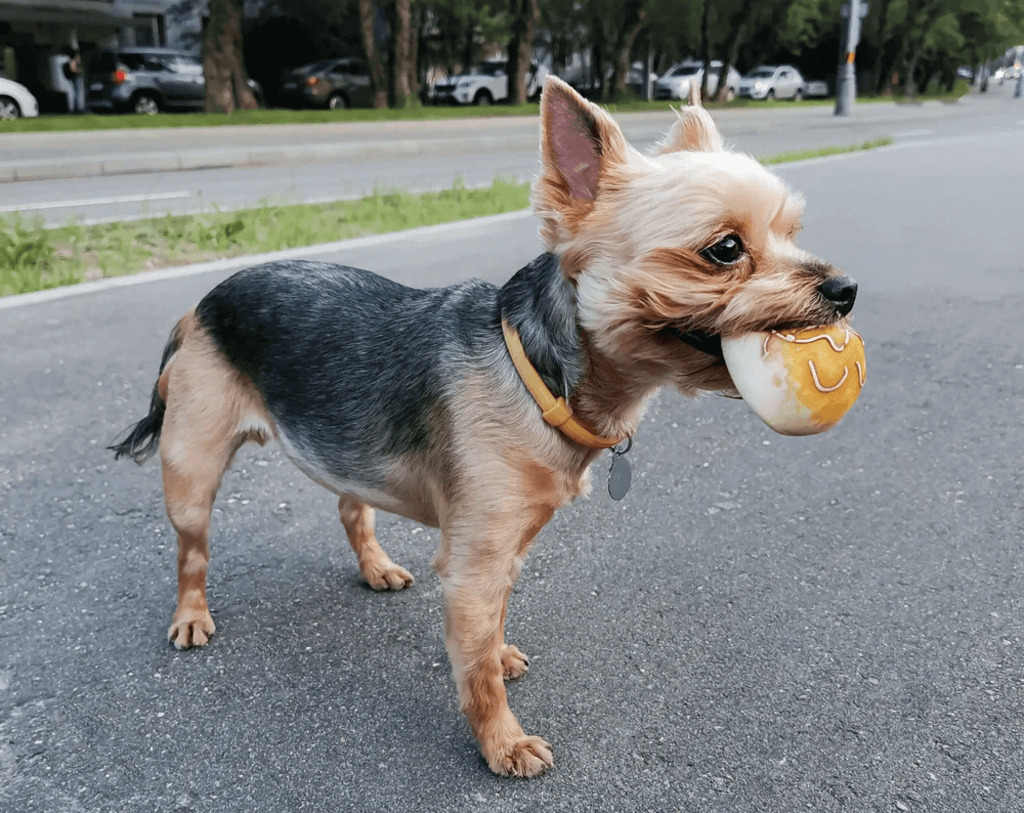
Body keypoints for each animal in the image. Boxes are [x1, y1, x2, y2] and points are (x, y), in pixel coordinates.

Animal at [112, 77, 856, 774]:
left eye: (791, 234)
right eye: (726, 249)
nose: (845, 288)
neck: (539, 373)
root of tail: (199, 303)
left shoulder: (507, 547)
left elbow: (492, 628)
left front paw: (499, 657)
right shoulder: (474, 563)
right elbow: (473, 672)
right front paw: (502, 742)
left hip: (344, 450)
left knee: (353, 507)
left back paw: (376, 567)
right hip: (192, 469)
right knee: (191, 551)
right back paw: (191, 616)